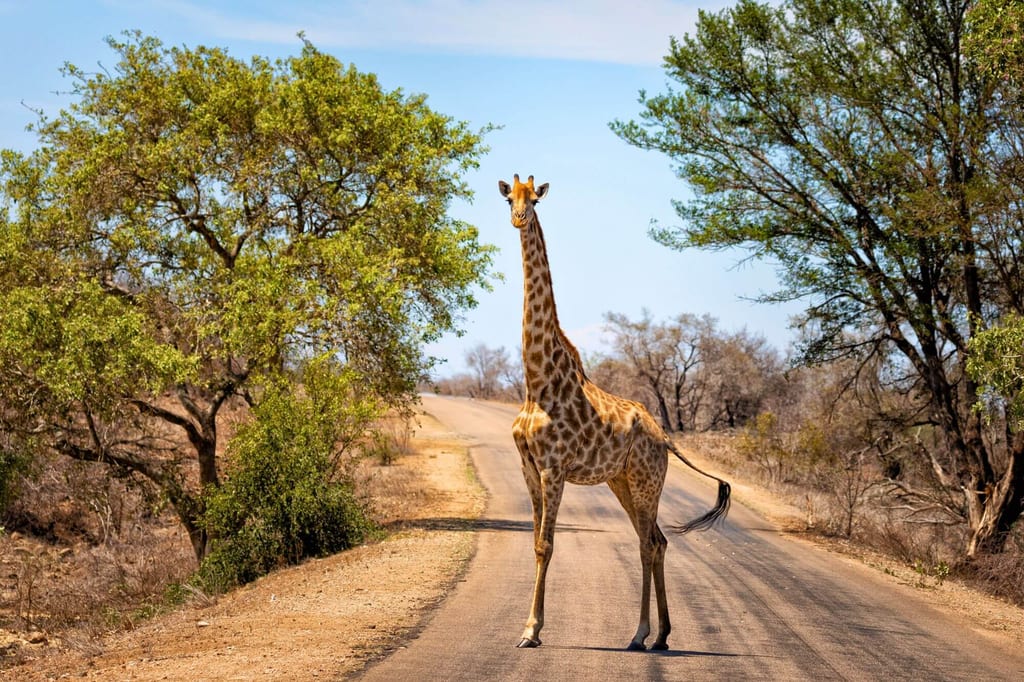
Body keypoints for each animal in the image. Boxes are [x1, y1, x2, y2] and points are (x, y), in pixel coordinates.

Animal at [498, 174, 731, 651]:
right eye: (509, 198)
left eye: (534, 200)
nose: (519, 218)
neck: (536, 381)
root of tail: (665, 438)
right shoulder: (529, 467)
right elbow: (534, 542)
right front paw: (530, 627)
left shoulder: (553, 468)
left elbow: (546, 545)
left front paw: (531, 630)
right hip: (621, 481)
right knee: (657, 540)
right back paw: (660, 636)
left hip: (645, 482)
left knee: (649, 544)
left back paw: (640, 634)